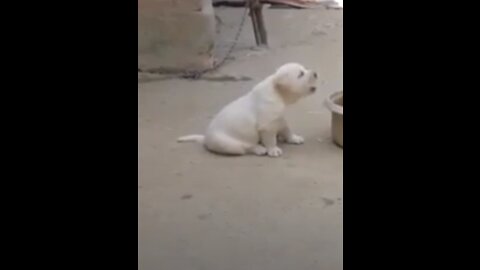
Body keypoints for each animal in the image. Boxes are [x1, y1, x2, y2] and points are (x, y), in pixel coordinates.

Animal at [178, 62, 316, 157]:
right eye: (300, 74)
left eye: (304, 69)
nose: (316, 73)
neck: (278, 93)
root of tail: (206, 139)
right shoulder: (267, 126)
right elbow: (270, 139)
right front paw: (273, 149)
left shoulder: (279, 118)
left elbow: (286, 129)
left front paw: (294, 138)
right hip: (228, 144)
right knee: (246, 147)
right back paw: (259, 149)